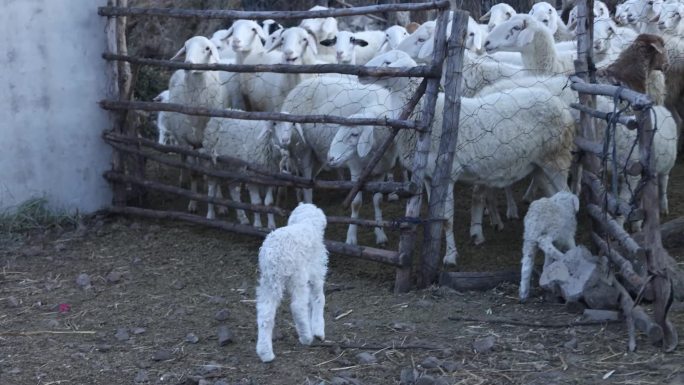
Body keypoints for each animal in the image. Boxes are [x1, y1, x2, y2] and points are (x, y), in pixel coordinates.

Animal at [258, 202, 330, 362]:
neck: (306, 222)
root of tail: (275, 254)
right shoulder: (316, 270)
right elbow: (319, 299)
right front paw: (318, 330)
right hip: (297, 276)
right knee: (298, 306)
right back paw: (306, 337)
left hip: (269, 280)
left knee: (265, 313)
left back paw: (265, 353)